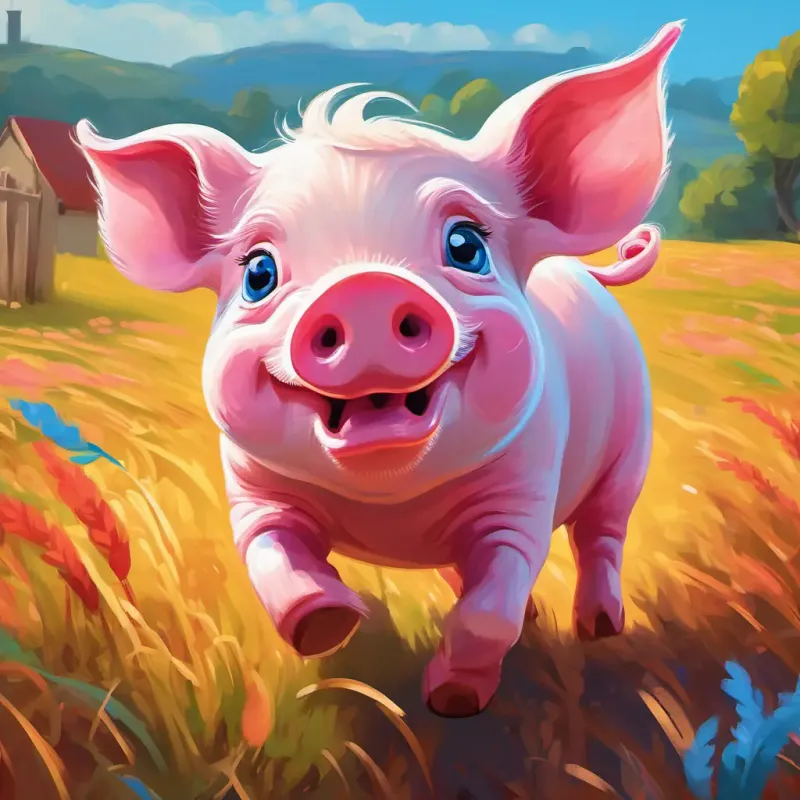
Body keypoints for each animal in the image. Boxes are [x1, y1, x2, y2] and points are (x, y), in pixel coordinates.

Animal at [76, 21, 681, 718]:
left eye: (466, 246)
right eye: (259, 272)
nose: (364, 288)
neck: (391, 508)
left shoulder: (526, 491)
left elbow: (489, 608)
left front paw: (451, 702)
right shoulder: (253, 492)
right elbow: (272, 559)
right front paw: (331, 625)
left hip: (630, 450)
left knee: (601, 536)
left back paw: (601, 626)